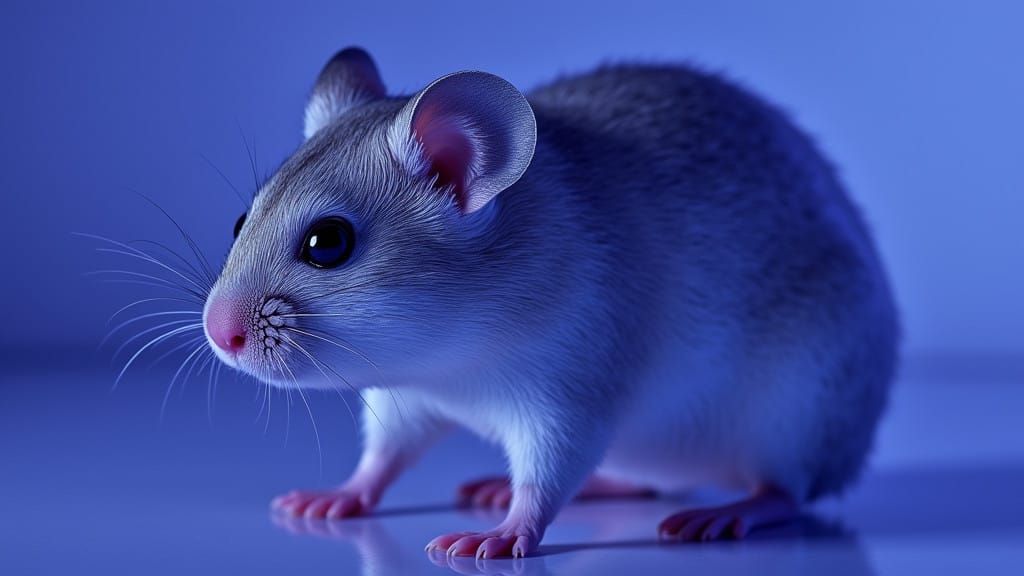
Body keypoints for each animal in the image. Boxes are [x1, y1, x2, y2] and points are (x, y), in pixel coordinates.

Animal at [203, 47, 899, 558]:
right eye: (239, 221)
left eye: (328, 243)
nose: (218, 334)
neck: (456, 354)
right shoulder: (407, 396)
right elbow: (383, 455)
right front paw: (338, 495)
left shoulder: (569, 386)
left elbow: (546, 472)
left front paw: (504, 535)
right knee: (642, 480)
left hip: (796, 411)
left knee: (785, 490)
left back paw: (731, 512)